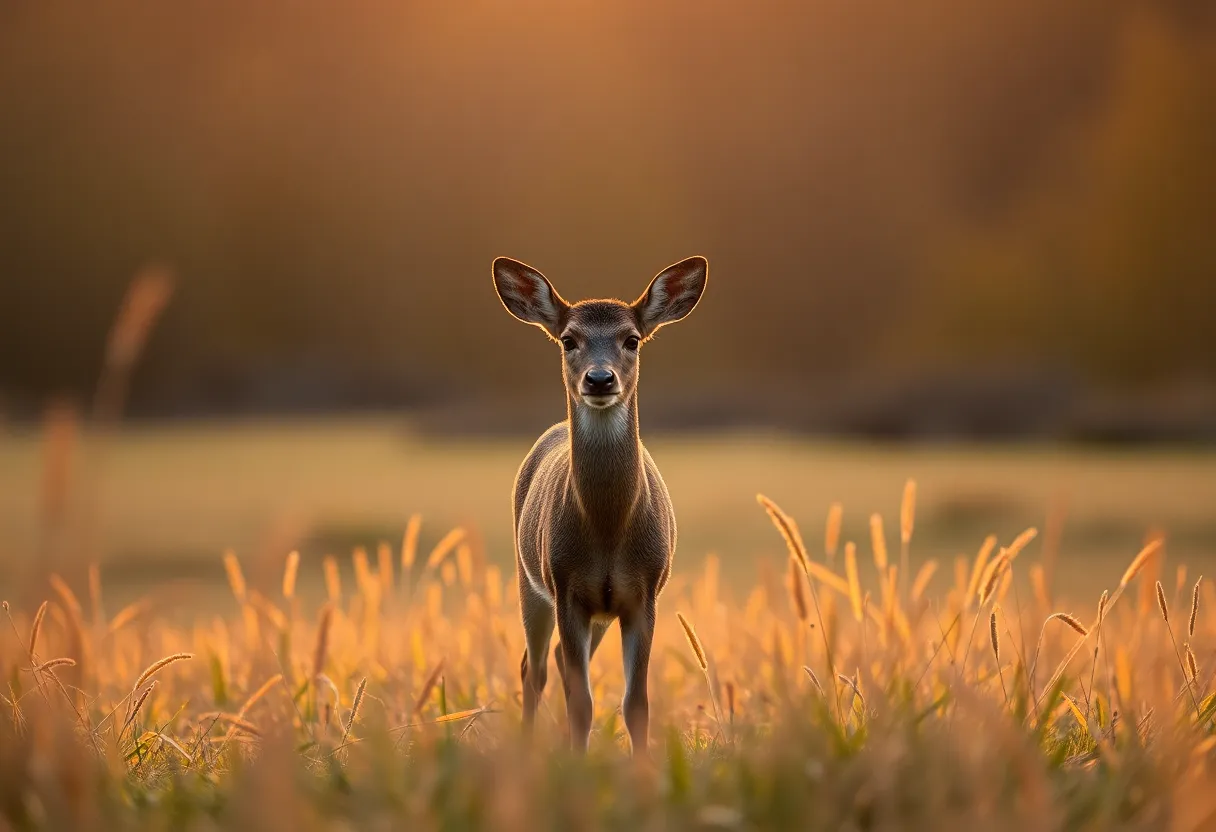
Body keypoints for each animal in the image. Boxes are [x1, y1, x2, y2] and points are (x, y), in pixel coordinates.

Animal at [491, 255, 708, 756]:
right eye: (569, 339)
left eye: (632, 339)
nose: (599, 378)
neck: (608, 528)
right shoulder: (566, 586)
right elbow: (582, 702)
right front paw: (577, 762)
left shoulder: (643, 593)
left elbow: (636, 703)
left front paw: (642, 765)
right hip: (530, 579)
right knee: (533, 668)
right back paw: (529, 748)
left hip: (598, 612)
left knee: (553, 662)